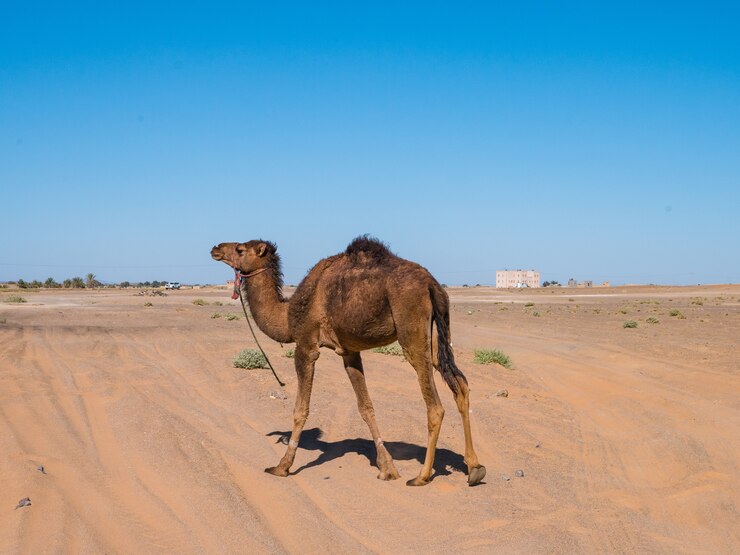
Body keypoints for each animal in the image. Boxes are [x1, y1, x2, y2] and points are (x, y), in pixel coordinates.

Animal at [211, 236, 486, 486]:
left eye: (240, 249)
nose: (215, 248)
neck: (288, 315)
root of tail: (432, 284)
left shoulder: (306, 345)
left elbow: (301, 409)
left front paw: (282, 466)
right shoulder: (349, 351)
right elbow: (366, 407)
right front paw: (387, 468)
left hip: (411, 328)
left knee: (435, 405)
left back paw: (422, 476)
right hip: (436, 333)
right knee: (460, 385)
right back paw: (474, 468)